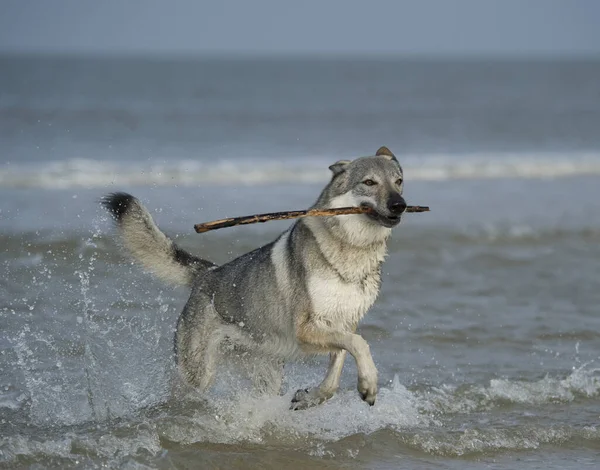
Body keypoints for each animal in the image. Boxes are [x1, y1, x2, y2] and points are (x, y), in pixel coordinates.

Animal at [102, 145, 408, 410]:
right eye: (369, 182)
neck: (352, 252)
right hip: (198, 377)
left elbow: (338, 369)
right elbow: (360, 344)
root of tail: (207, 273)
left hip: (266, 376)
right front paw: (369, 384)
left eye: (399, 181)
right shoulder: (307, 329)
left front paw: (312, 397)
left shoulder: (344, 323)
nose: (400, 205)